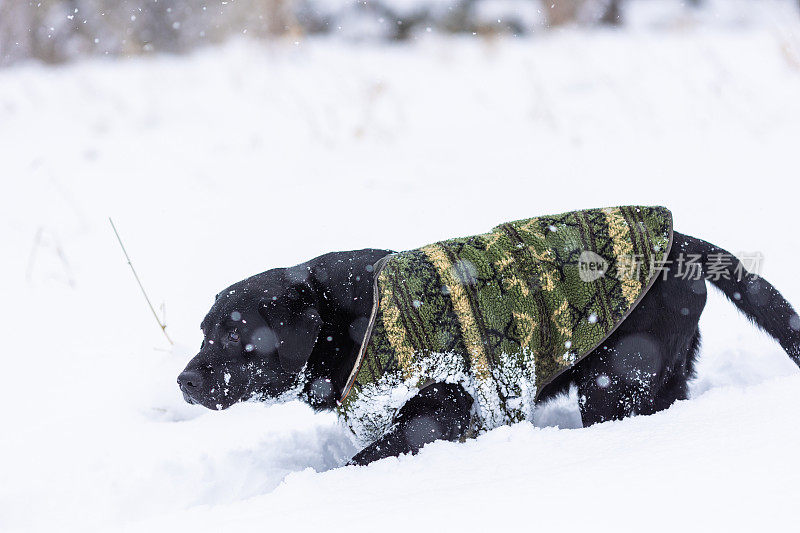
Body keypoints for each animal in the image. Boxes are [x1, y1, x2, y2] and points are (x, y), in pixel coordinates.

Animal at [180, 232, 800, 462]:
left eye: (234, 335)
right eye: (203, 331)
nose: (183, 381)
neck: (348, 326)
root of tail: (684, 244)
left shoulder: (442, 409)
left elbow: (367, 457)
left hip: (616, 379)